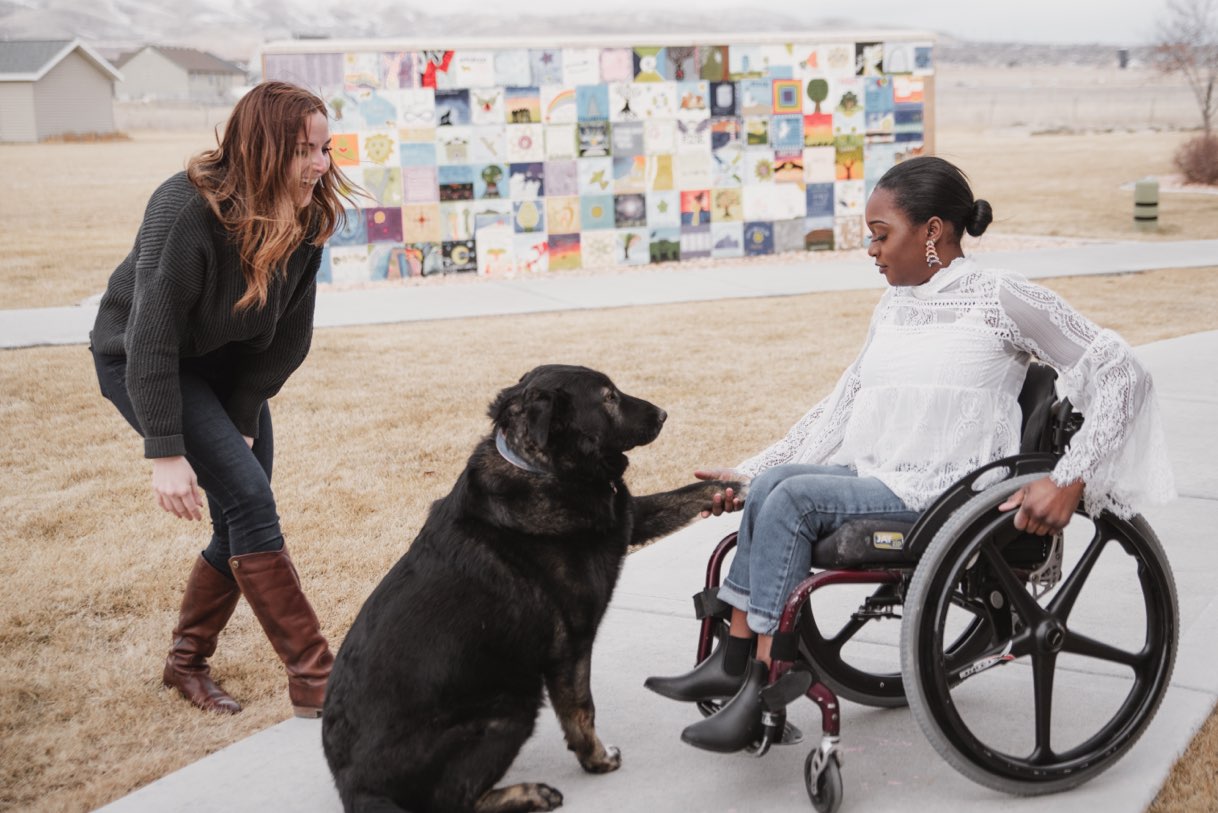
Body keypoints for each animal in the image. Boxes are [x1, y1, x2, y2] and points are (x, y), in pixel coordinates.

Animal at [323, 368, 740, 813]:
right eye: (608, 397)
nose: (663, 414)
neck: (544, 471)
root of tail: (354, 789)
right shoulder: (572, 645)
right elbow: (582, 710)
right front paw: (597, 760)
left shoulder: (627, 518)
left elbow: (684, 494)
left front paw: (740, 487)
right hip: (514, 703)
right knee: (455, 801)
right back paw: (532, 793)